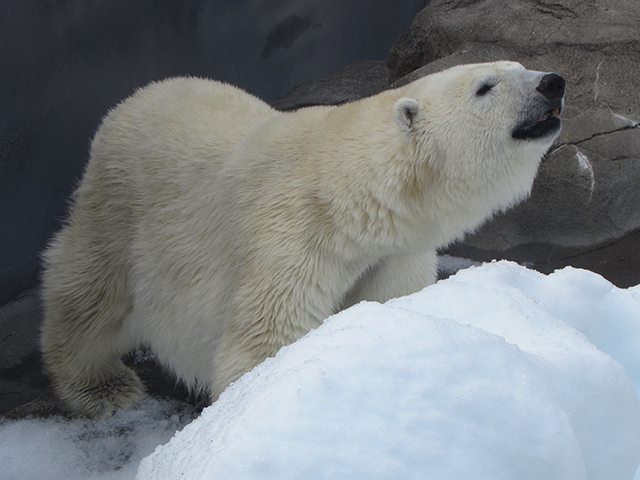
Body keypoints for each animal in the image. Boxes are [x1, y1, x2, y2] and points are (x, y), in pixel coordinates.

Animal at [41, 62, 564, 418]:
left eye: (520, 65)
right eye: (485, 86)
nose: (552, 82)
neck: (349, 192)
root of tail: (138, 95)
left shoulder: (393, 255)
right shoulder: (292, 235)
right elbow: (266, 339)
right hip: (121, 206)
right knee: (90, 294)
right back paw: (102, 387)